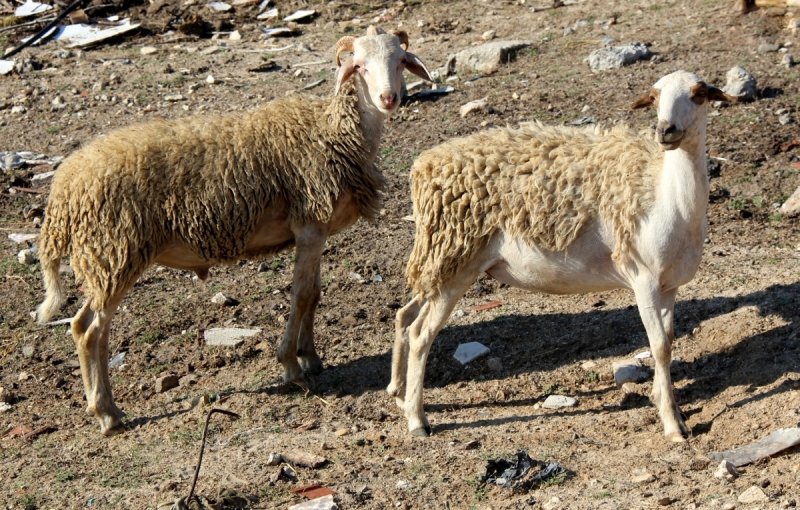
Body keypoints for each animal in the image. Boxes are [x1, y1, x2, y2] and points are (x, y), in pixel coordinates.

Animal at [32, 25, 432, 436]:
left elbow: (315, 294)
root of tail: (62, 189)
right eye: (360, 66)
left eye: (400, 61)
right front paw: (291, 365)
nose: (389, 98)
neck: (333, 131)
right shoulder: (309, 224)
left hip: (106, 257)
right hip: (113, 252)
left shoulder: (316, 231)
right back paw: (107, 414)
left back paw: (107, 406)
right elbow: (301, 295)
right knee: (88, 330)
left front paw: (311, 356)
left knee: (91, 329)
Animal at [390, 70, 736, 442]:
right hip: (454, 258)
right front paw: (673, 424)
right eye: (655, 97)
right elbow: (659, 347)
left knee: (405, 315)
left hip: (442, 263)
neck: (666, 195)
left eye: (699, 94)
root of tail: (422, 166)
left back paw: (398, 393)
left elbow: (669, 342)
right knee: (421, 334)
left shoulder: (670, 285)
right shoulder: (643, 278)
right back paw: (417, 420)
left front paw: (662, 398)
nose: (665, 130)